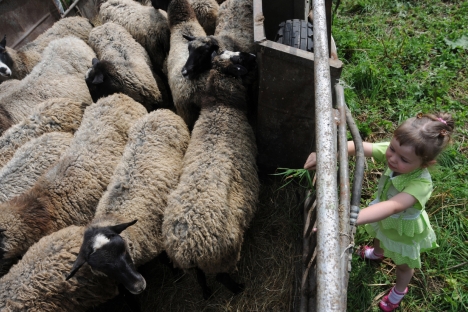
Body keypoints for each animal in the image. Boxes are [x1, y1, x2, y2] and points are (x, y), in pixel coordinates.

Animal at [66, 109, 190, 292]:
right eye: (103, 269)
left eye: (124, 250)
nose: (138, 286)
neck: (116, 214)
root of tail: (159, 112)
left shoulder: (157, 237)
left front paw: (178, 275)